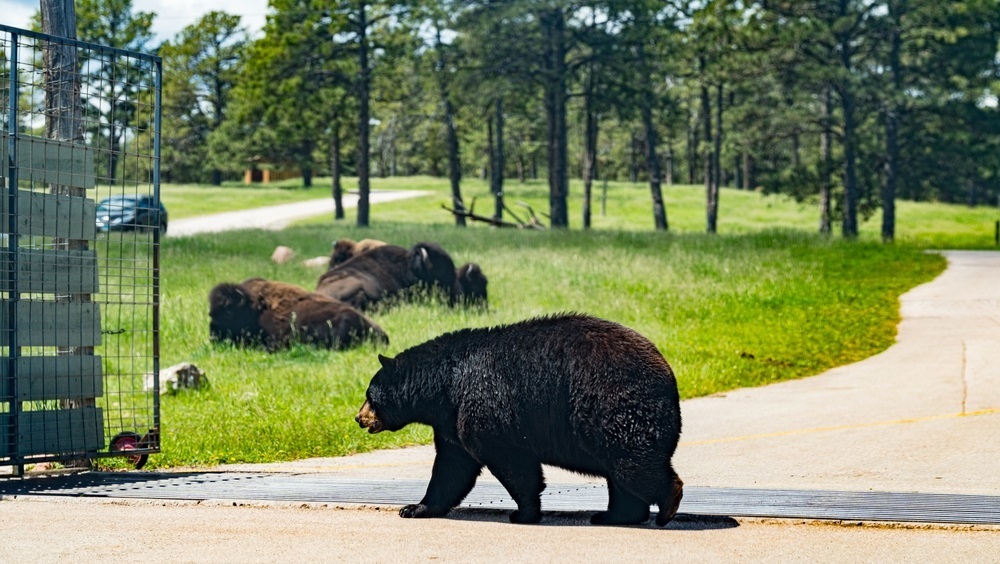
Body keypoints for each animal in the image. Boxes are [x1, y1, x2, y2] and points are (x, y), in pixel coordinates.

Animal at [355, 313, 683, 527]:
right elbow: (452, 467)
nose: (358, 418)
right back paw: (613, 515)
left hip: (614, 408)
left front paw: (522, 513)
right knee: (623, 474)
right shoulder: (451, 419)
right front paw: (415, 508)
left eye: (370, 394)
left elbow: (510, 461)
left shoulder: (483, 406)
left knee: (633, 462)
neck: (445, 384)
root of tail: (668, 373)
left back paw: (667, 504)